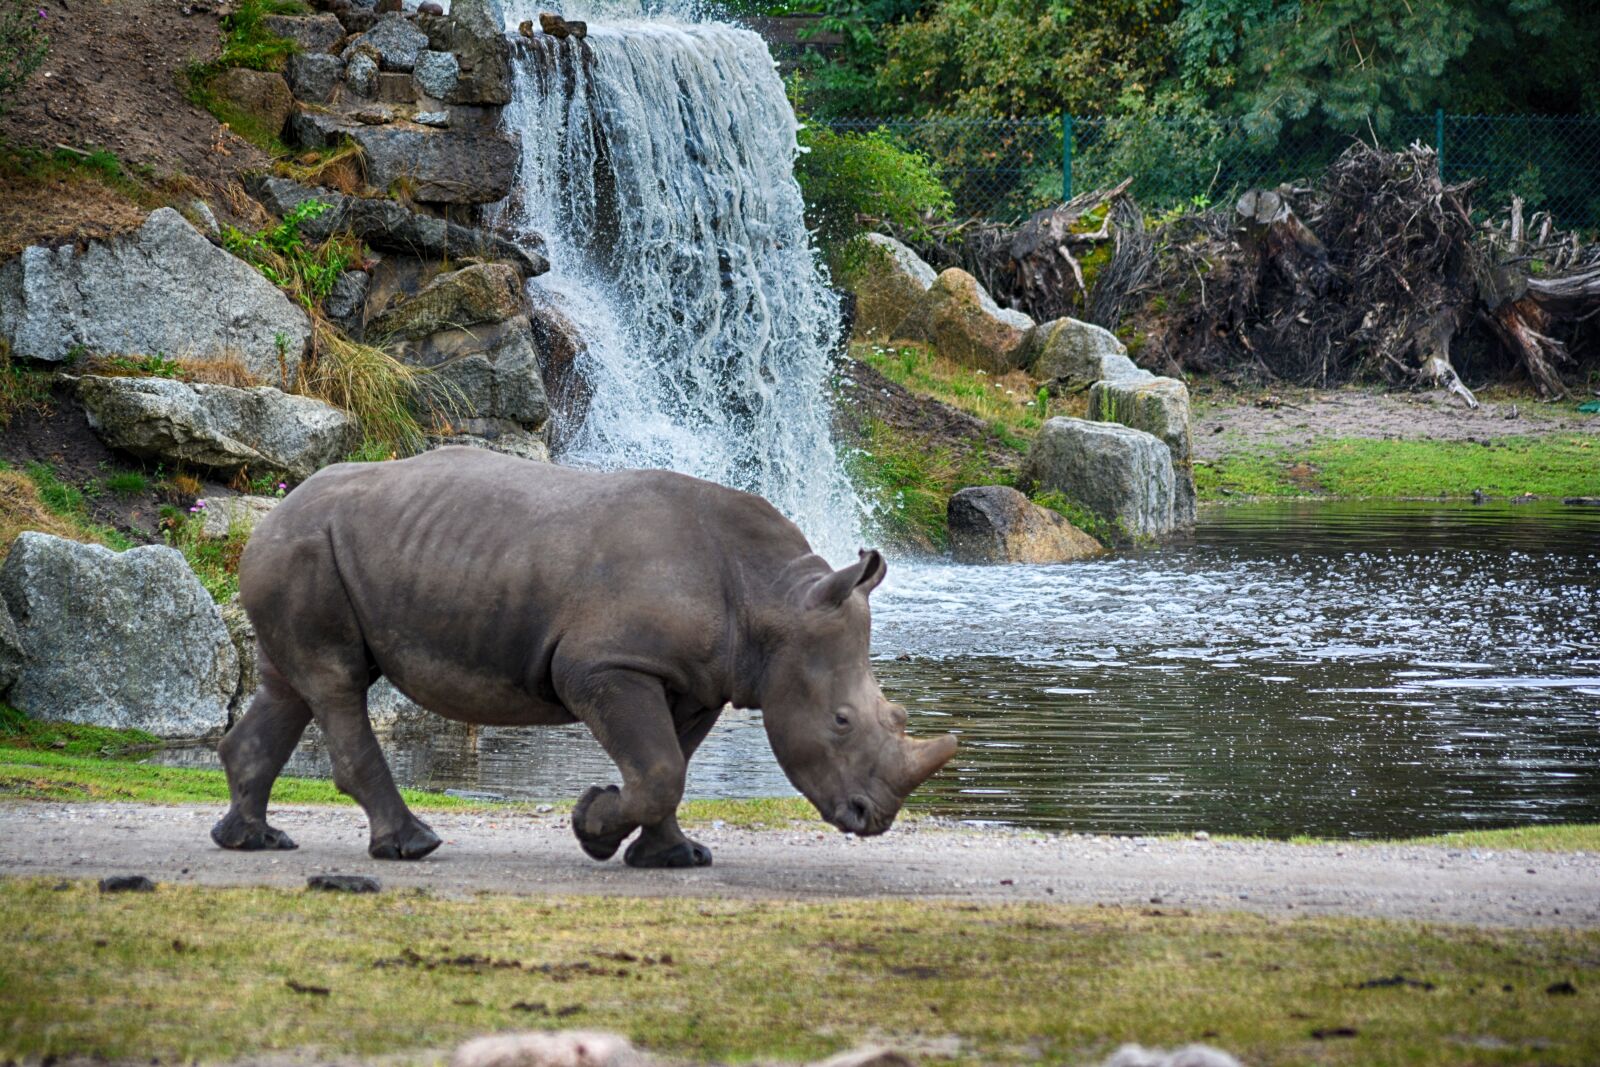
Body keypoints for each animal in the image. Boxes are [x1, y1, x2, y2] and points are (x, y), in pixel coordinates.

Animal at [213, 447, 957, 867]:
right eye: (840, 721)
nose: (872, 819)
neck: (772, 598)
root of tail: (272, 508)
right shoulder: (605, 665)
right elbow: (659, 769)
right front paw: (592, 828)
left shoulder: (697, 681)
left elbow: (671, 764)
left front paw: (673, 857)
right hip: (306, 544)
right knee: (336, 681)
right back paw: (413, 847)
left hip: (314, 546)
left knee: (292, 685)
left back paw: (252, 841)